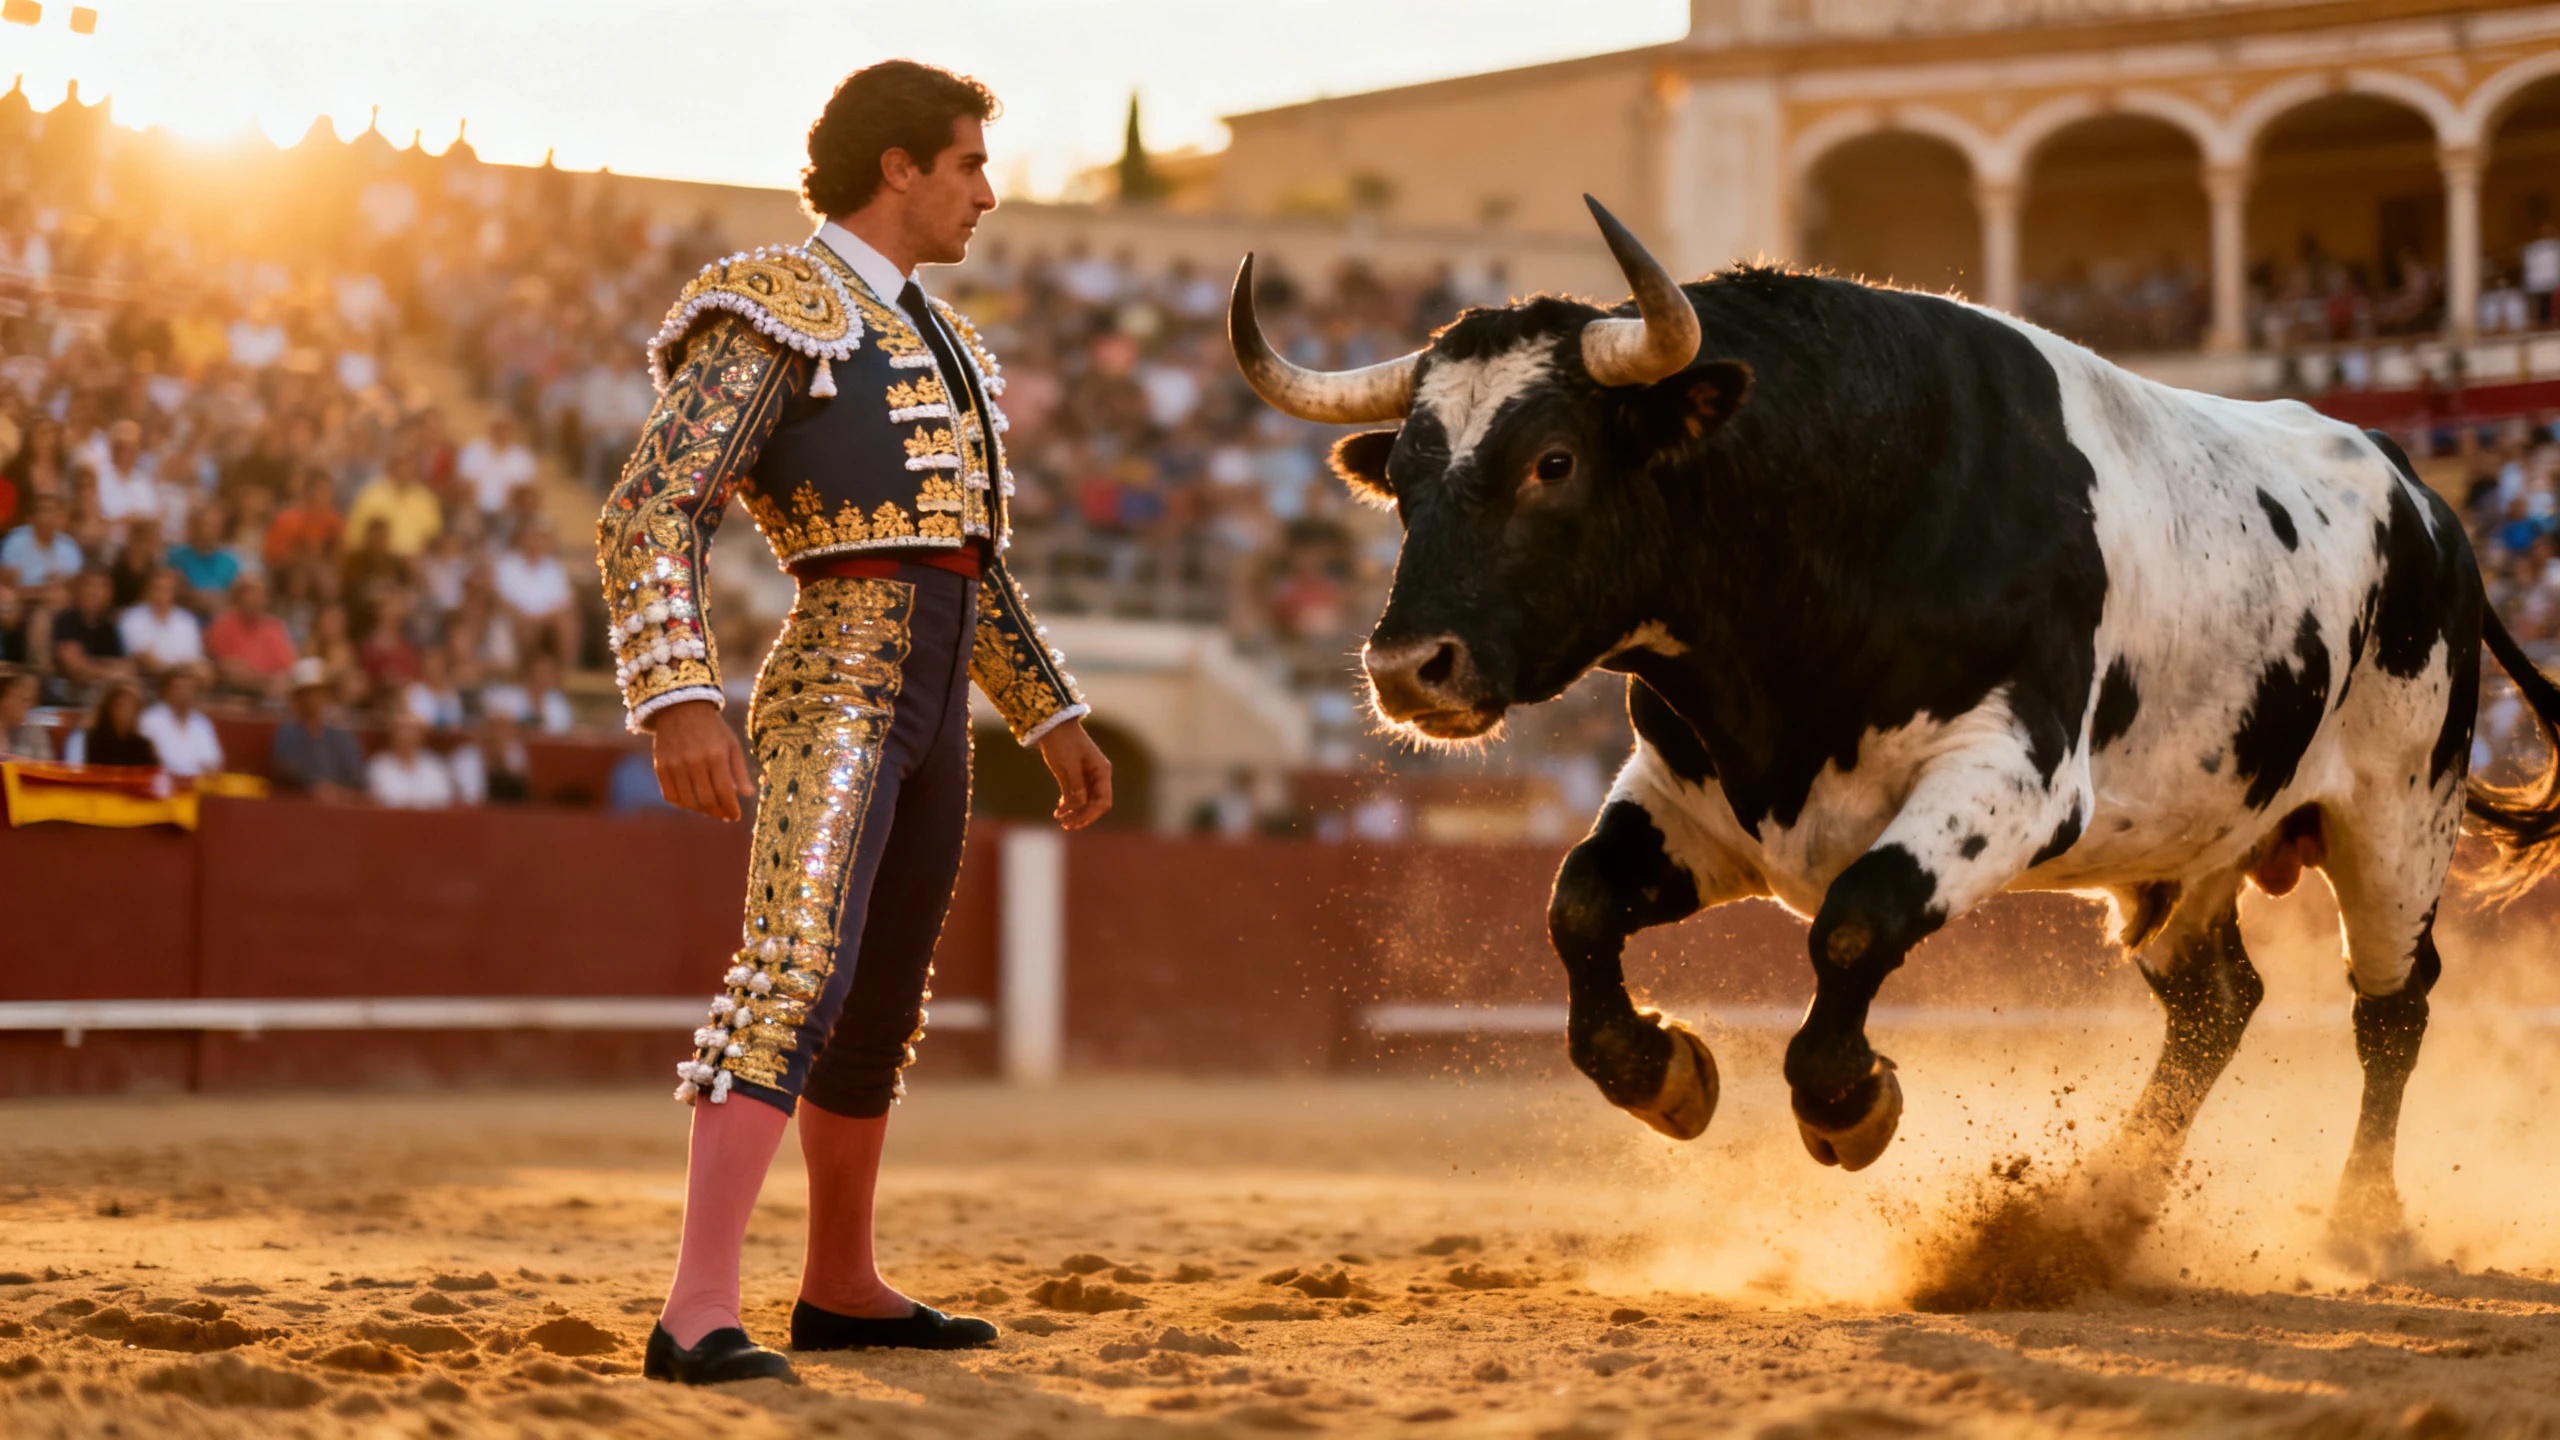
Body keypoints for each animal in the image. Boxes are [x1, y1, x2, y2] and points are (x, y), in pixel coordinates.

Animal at [1228, 198, 2560, 1254]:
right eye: (1402, 479)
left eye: (1551, 460)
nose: (1408, 668)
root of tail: (2418, 489)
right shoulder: (1693, 795)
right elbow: (1580, 903)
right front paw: (1665, 1073)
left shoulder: (2010, 778)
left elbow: (1856, 926)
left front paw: (1846, 1104)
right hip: (2189, 853)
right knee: (2213, 1009)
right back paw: (2104, 1209)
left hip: (2395, 818)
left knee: (2389, 1006)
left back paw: (2359, 1223)